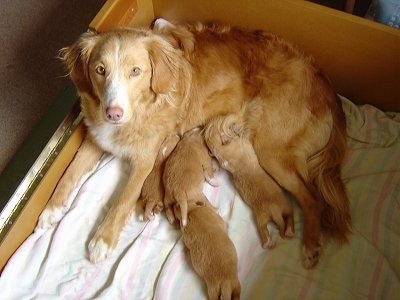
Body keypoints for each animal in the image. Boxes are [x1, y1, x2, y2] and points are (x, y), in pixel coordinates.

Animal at [205, 113, 296, 247]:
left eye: (210, 131)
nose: (206, 124)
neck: (223, 153)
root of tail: (274, 211)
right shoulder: (242, 145)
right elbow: (245, 141)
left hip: (263, 217)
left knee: (266, 229)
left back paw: (276, 239)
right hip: (283, 207)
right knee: (289, 217)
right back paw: (285, 234)